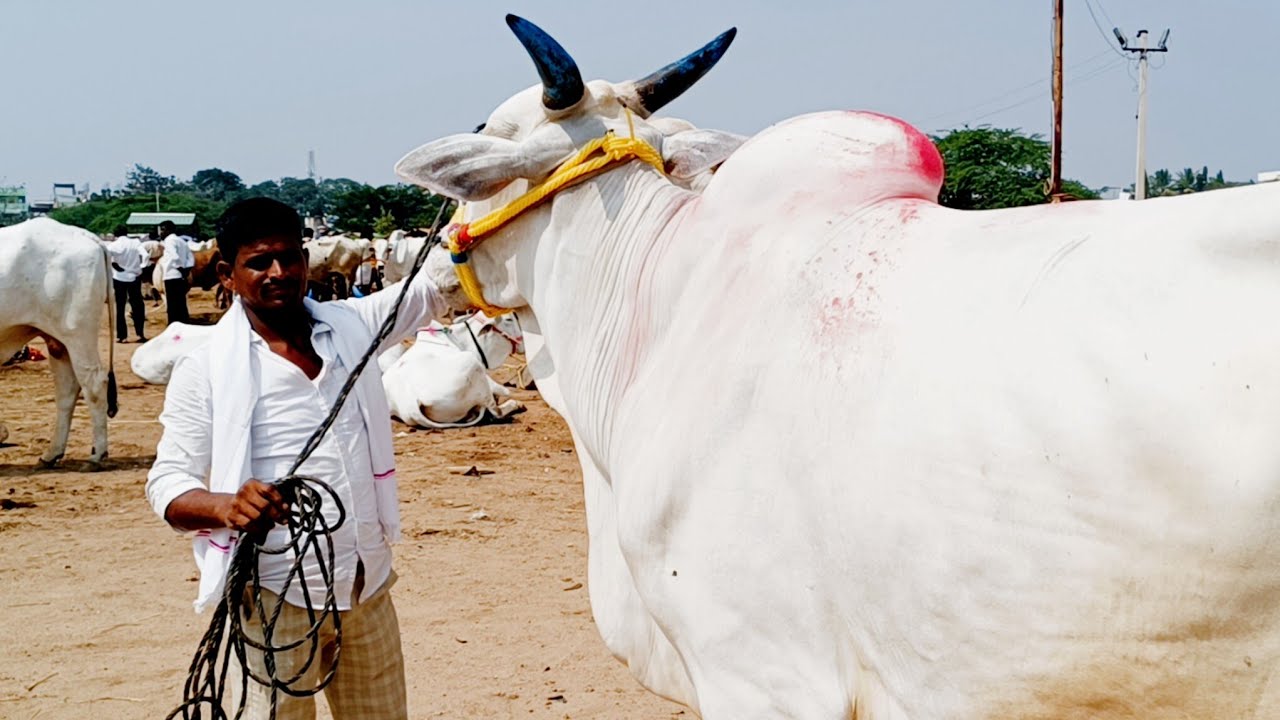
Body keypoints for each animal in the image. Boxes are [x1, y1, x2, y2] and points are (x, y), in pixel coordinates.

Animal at [0, 217, 118, 466]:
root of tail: (85, 234)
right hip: (57, 341)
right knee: (67, 390)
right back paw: (52, 453)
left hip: (78, 334)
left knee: (93, 384)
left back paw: (97, 454)